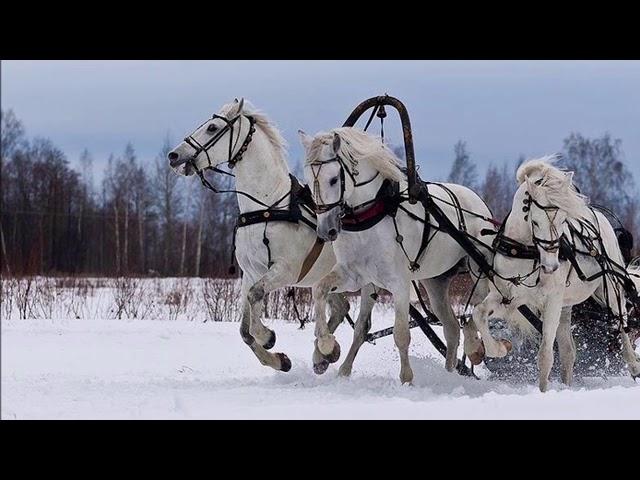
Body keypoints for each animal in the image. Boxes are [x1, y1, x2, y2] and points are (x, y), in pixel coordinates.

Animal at [168, 99, 378, 374]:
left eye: (212, 128)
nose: (174, 155)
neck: (267, 207)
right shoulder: (250, 273)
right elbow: (245, 330)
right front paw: (279, 359)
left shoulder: (285, 271)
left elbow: (255, 297)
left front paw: (267, 336)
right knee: (341, 308)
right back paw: (323, 355)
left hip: (366, 280)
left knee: (361, 327)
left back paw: (335, 359)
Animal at [300, 126, 496, 382]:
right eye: (307, 179)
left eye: (333, 179)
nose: (326, 230)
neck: (370, 217)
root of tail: (479, 202)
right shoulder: (356, 276)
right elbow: (328, 297)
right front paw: (330, 352)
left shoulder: (399, 283)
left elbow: (401, 333)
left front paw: (406, 378)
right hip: (435, 281)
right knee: (452, 328)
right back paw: (449, 373)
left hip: (478, 269)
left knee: (482, 307)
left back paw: (475, 347)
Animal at [470, 156, 640, 392]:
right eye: (534, 221)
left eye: (562, 221)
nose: (551, 267)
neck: (525, 251)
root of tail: (596, 215)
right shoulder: (508, 297)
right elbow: (479, 313)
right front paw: (500, 348)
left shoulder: (551, 301)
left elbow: (545, 355)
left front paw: (543, 392)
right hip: (565, 307)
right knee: (569, 352)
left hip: (610, 289)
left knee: (622, 321)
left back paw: (633, 364)